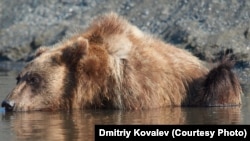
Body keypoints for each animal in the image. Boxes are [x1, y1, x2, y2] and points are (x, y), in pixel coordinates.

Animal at [0, 12, 241, 111]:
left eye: (34, 79)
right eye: (19, 77)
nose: (8, 104)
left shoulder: (135, 89)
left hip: (205, 86)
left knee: (221, 77)